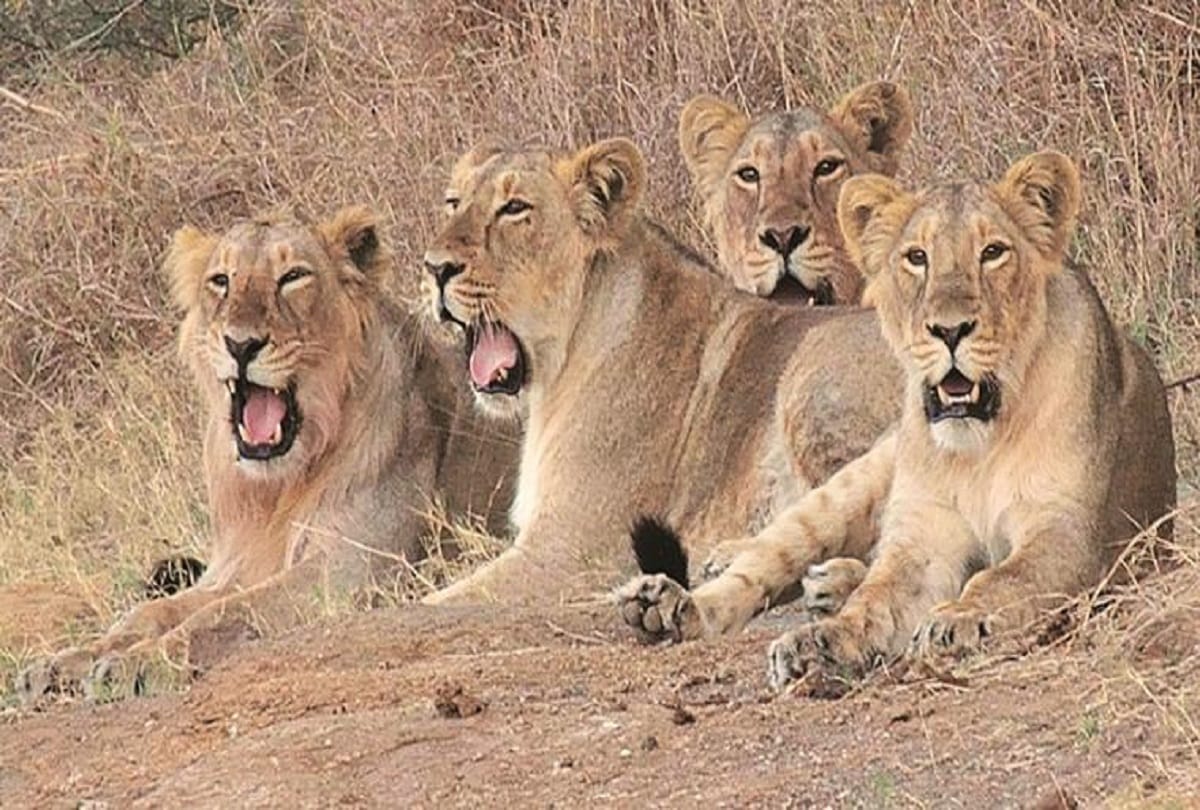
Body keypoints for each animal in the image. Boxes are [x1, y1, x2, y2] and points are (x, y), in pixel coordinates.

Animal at [17, 206, 516, 703]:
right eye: (221, 280)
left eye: (293, 276)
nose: (240, 344)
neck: (276, 487)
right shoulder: (235, 565)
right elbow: (154, 610)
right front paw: (63, 662)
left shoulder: (355, 569)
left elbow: (223, 613)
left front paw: (135, 663)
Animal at [418, 137, 902, 605]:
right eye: (452, 202)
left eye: (514, 208)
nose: (436, 268)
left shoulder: (573, 550)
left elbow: (435, 602)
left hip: (811, 371)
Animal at [616, 152, 1176, 690]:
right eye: (917, 257)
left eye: (993, 252)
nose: (949, 330)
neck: (982, 441)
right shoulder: (923, 534)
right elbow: (876, 600)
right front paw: (819, 644)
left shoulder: (1068, 530)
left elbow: (1002, 579)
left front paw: (957, 620)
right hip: (849, 486)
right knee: (763, 563)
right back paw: (670, 604)